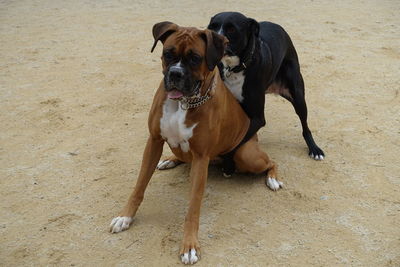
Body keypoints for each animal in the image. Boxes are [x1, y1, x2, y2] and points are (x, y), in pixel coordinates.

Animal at [110, 22, 282, 264]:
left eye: (195, 58)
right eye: (168, 54)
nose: (175, 73)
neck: (184, 103)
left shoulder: (201, 158)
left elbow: (193, 206)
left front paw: (190, 245)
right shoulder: (153, 142)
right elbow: (139, 185)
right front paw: (125, 216)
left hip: (246, 155)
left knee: (271, 161)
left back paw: (273, 178)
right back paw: (170, 160)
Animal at [209, 12, 324, 176]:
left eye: (231, 29)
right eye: (212, 27)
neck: (235, 68)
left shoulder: (257, 118)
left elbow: (236, 143)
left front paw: (228, 165)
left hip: (298, 97)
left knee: (305, 126)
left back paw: (314, 149)